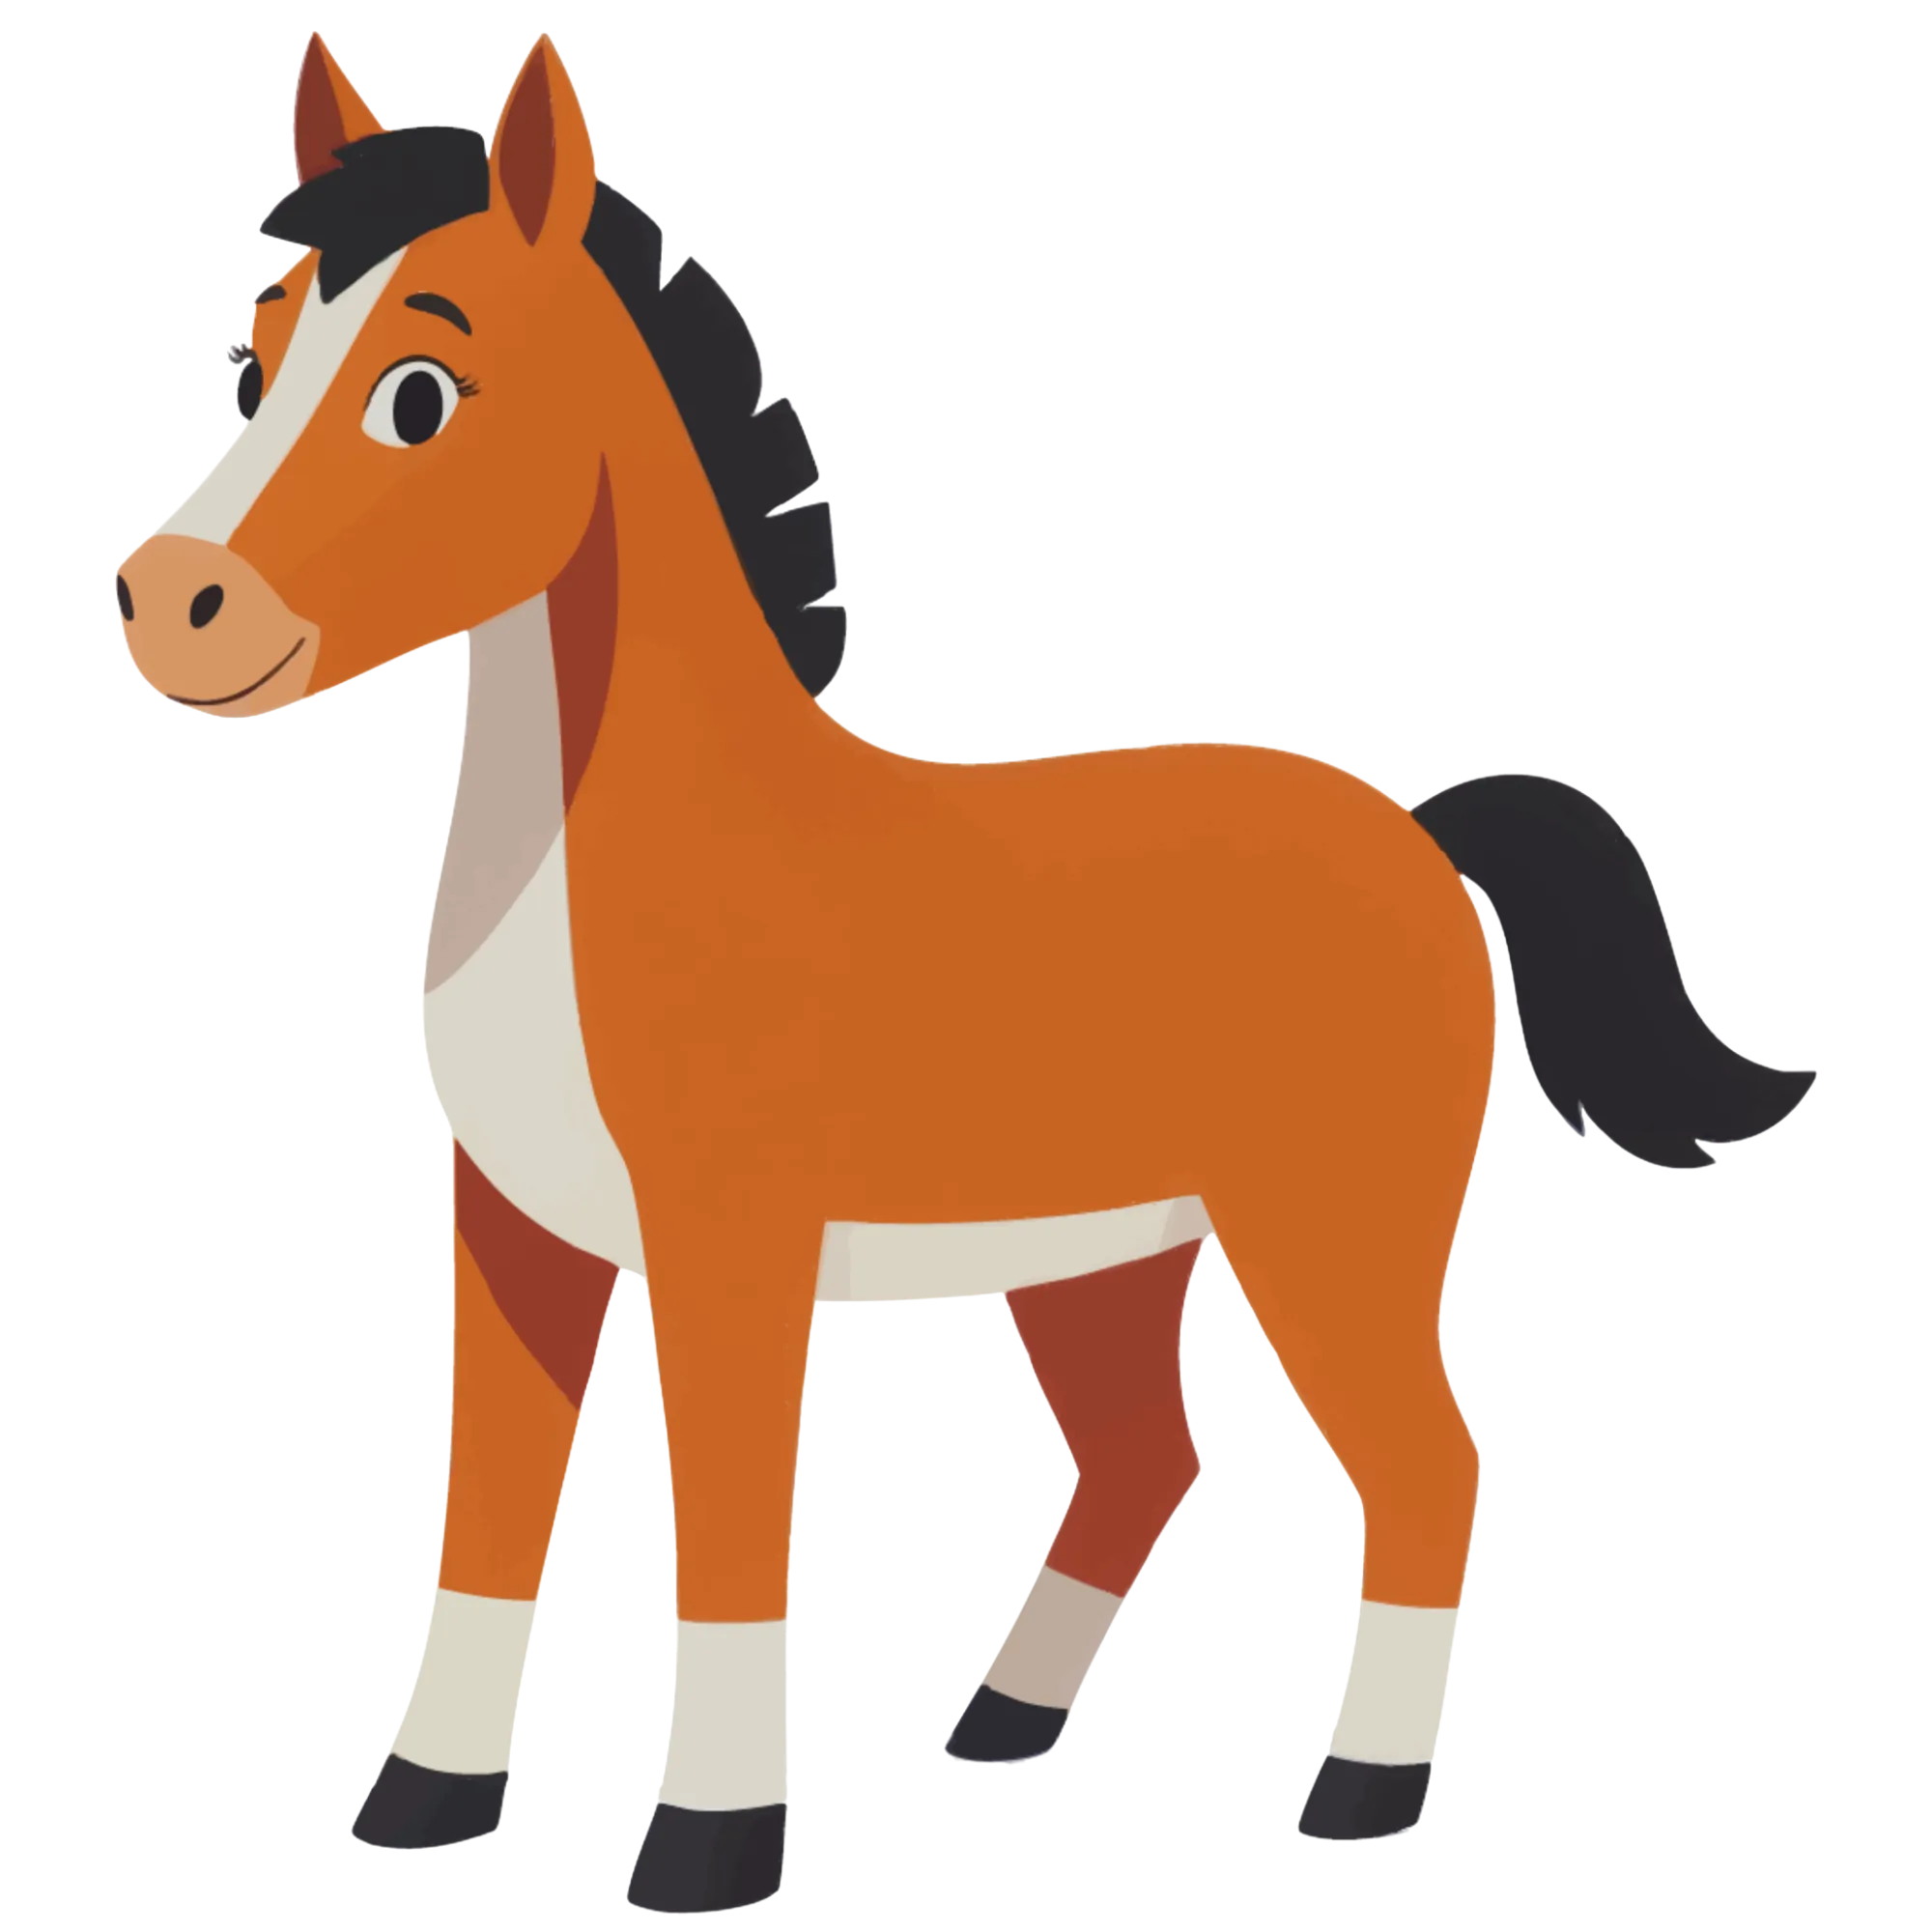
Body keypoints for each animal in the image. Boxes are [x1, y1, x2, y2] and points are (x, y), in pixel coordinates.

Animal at [113, 32, 1822, 1916]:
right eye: (252, 353)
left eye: (422, 388)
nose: (169, 606)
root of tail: (1424, 834)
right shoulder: (511, 1230)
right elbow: (486, 1514)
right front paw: (421, 1802)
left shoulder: (731, 1241)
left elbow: (730, 1528)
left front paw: (710, 1845)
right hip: (1108, 1248)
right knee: (1153, 1454)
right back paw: (1007, 1718)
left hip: (1334, 1232)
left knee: (1431, 1464)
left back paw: (1363, 1791)